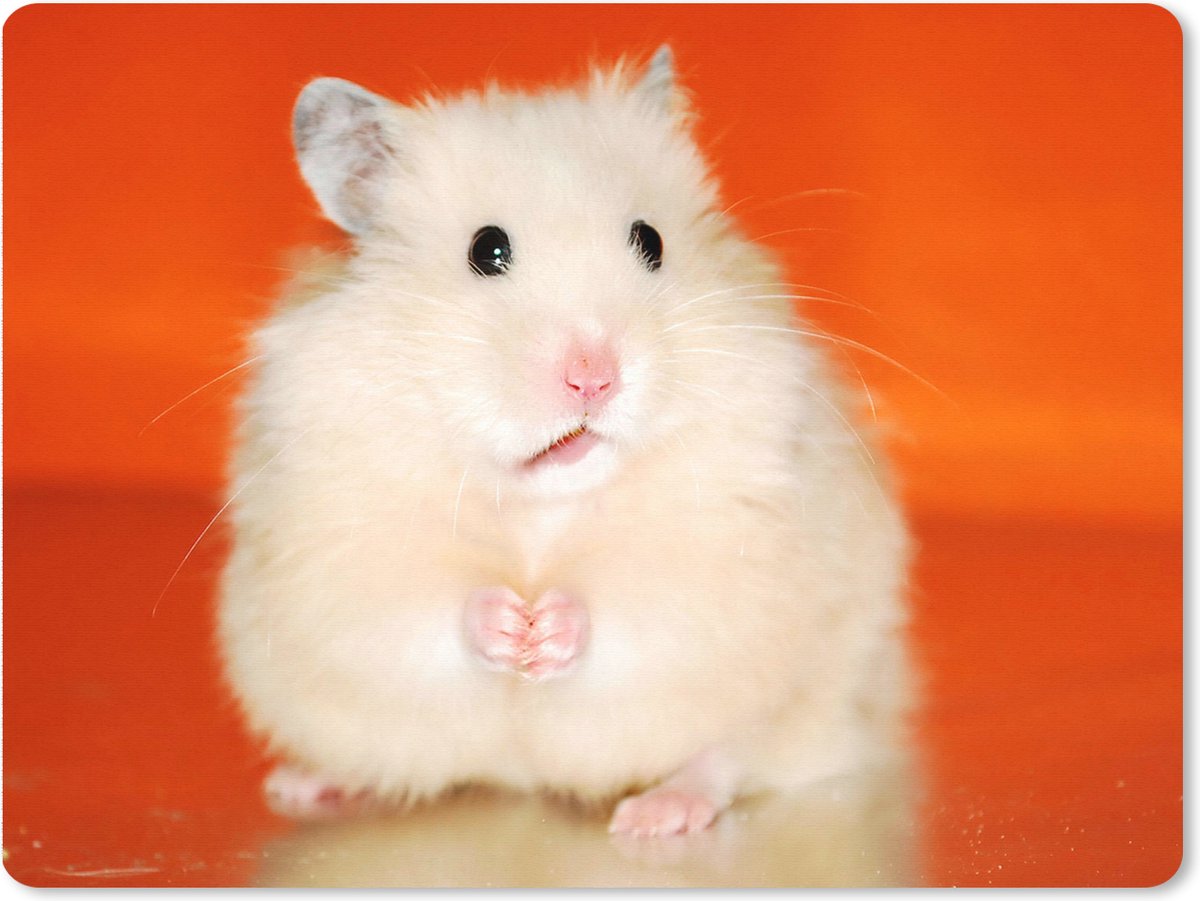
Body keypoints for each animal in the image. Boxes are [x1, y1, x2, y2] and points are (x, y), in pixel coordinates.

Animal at [217, 46, 911, 837]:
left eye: (651, 241)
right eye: (487, 250)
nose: (595, 379)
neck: (542, 501)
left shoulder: (729, 558)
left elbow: (635, 611)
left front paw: (545, 629)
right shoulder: (339, 560)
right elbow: (423, 612)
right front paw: (509, 627)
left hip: (816, 681)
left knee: (729, 756)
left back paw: (657, 815)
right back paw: (306, 784)